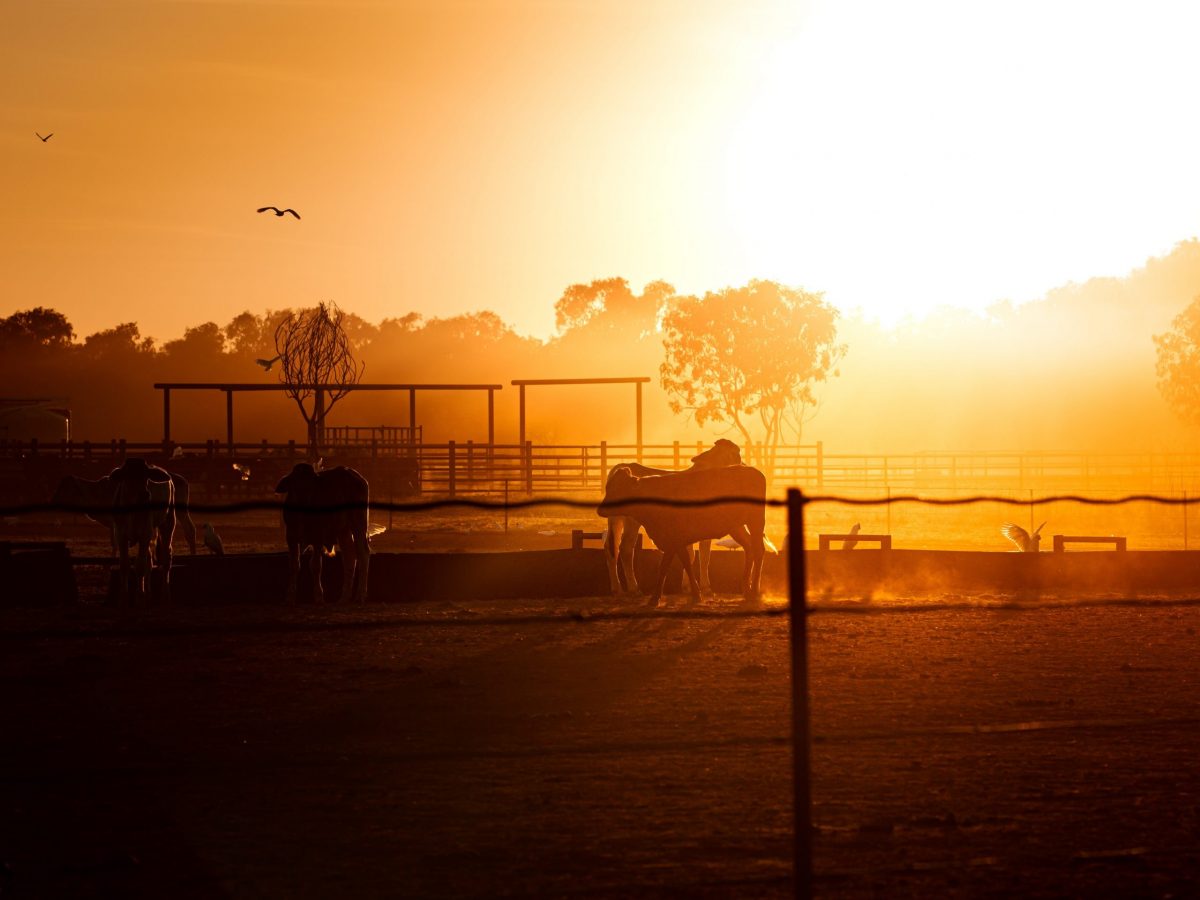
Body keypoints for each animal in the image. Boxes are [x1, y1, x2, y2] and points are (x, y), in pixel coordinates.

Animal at [109, 458, 176, 607]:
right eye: (128, 475)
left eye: (146, 476)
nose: (145, 494)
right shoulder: (120, 535)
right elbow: (124, 565)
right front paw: (123, 599)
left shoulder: (144, 534)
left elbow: (139, 566)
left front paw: (139, 598)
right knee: (149, 560)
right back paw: (149, 596)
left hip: (168, 522)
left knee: (165, 558)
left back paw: (165, 596)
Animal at [276, 465, 369, 607]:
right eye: (294, 488)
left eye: (312, 488)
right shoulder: (291, 537)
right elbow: (294, 565)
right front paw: (289, 598)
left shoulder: (318, 537)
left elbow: (315, 565)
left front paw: (319, 597)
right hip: (343, 530)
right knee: (349, 556)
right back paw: (344, 598)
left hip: (358, 524)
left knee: (362, 554)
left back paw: (359, 596)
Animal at [600, 465, 768, 607]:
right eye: (608, 487)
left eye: (619, 489)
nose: (600, 510)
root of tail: (754, 471)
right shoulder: (674, 541)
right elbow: (681, 564)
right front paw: (692, 594)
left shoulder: (674, 539)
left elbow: (669, 566)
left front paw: (658, 598)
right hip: (736, 527)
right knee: (749, 547)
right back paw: (746, 589)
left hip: (756, 521)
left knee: (758, 550)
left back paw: (754, 591)